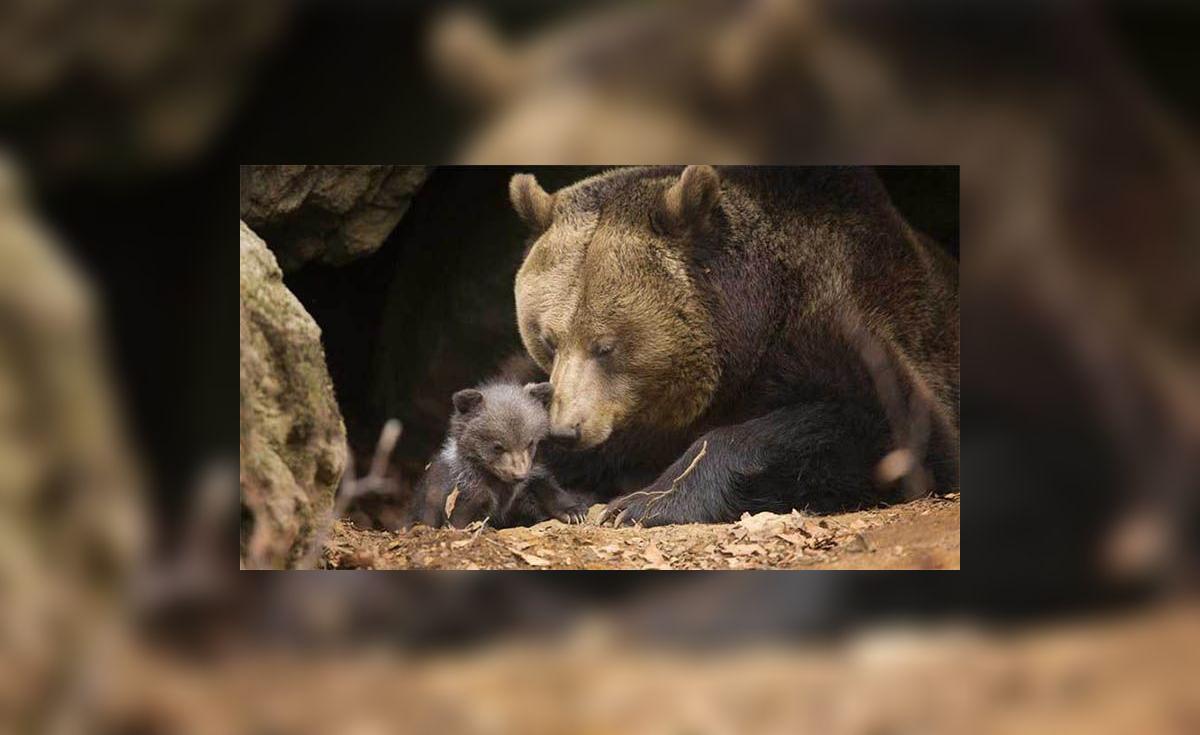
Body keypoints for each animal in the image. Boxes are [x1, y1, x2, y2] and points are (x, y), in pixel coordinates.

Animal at [508, 165, 959, 526]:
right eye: (548, 339)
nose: (566, 429)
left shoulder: (840, 322)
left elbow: (892, 429)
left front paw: (642, 503)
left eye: (606, 346)